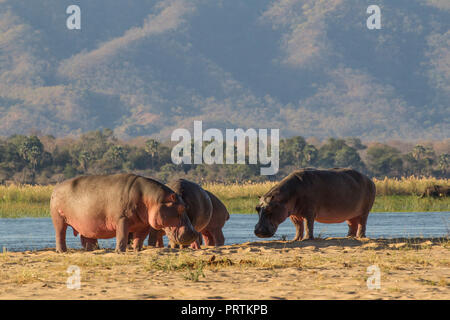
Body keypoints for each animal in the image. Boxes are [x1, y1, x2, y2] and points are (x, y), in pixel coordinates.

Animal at [49, 172, 199, 252]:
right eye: (181, 208)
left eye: (186, 206)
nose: (194, 233)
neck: (151, 199)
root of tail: (55, 188)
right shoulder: (122, 219)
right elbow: (122, 236)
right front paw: (119, 251)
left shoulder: (144, 224)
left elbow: (139, 239)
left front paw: (137, 250)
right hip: (59, 219)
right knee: (60, 235)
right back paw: (62, 251)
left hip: (87, 224)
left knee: (87, 240)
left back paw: (92, 250)